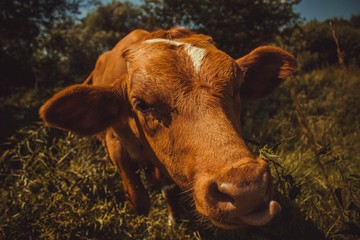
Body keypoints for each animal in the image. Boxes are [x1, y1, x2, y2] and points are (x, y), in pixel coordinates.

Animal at [39, 28, 296, 229]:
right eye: (142, 104)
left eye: (238, 86)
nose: (247, 188)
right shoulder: (115, 145)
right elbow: (140, 201)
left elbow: (169, 190)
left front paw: (174, 220)